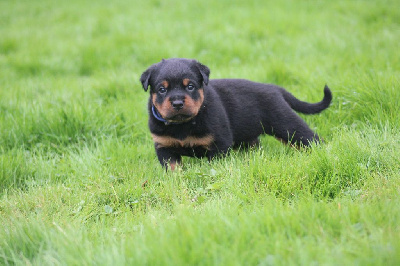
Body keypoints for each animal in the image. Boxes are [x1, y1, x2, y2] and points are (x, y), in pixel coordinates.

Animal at [141, 58, 332, 170]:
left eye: (190, 86)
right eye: (162, 89)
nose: (177, 103)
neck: (183, 125)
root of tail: (275, 88)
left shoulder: (219, 144)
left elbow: (214, 167)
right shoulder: (164, 147)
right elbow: (173, 168)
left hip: (287, 125)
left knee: (311, 139)